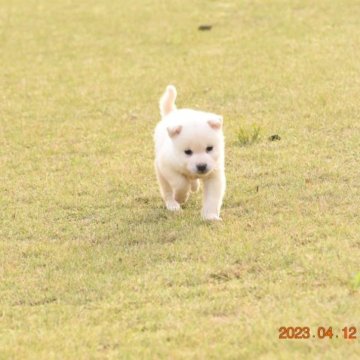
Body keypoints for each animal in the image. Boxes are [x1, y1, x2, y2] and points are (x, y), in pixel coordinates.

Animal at [154, 85, 226, 219]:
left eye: (209, 148)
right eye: (187, 152)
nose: (202, 166)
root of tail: (172, 113)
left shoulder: (214, 174)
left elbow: (213, 198)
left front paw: (210, 216)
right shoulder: (166, 166)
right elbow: (181, 183)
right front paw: (180, 198)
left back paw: (194, 186)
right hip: (161, 174)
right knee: (167, 191)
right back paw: (173, 205)